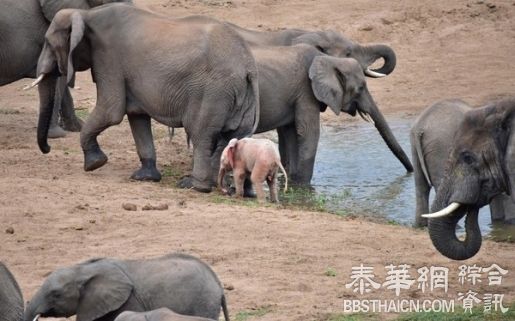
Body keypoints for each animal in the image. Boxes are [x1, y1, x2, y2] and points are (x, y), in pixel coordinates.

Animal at [35, 3, 262, 190]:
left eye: (48, 43)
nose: (47, 148)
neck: (86, 14)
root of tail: (248, 66)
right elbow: (136, 116)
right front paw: (144, 177)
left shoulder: (108, 57)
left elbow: (111, 111)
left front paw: (94, 164)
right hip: (239, 97)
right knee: (231, 137)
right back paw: (213, 184)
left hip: (212, 92)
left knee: (202, 135)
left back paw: (193, 186)